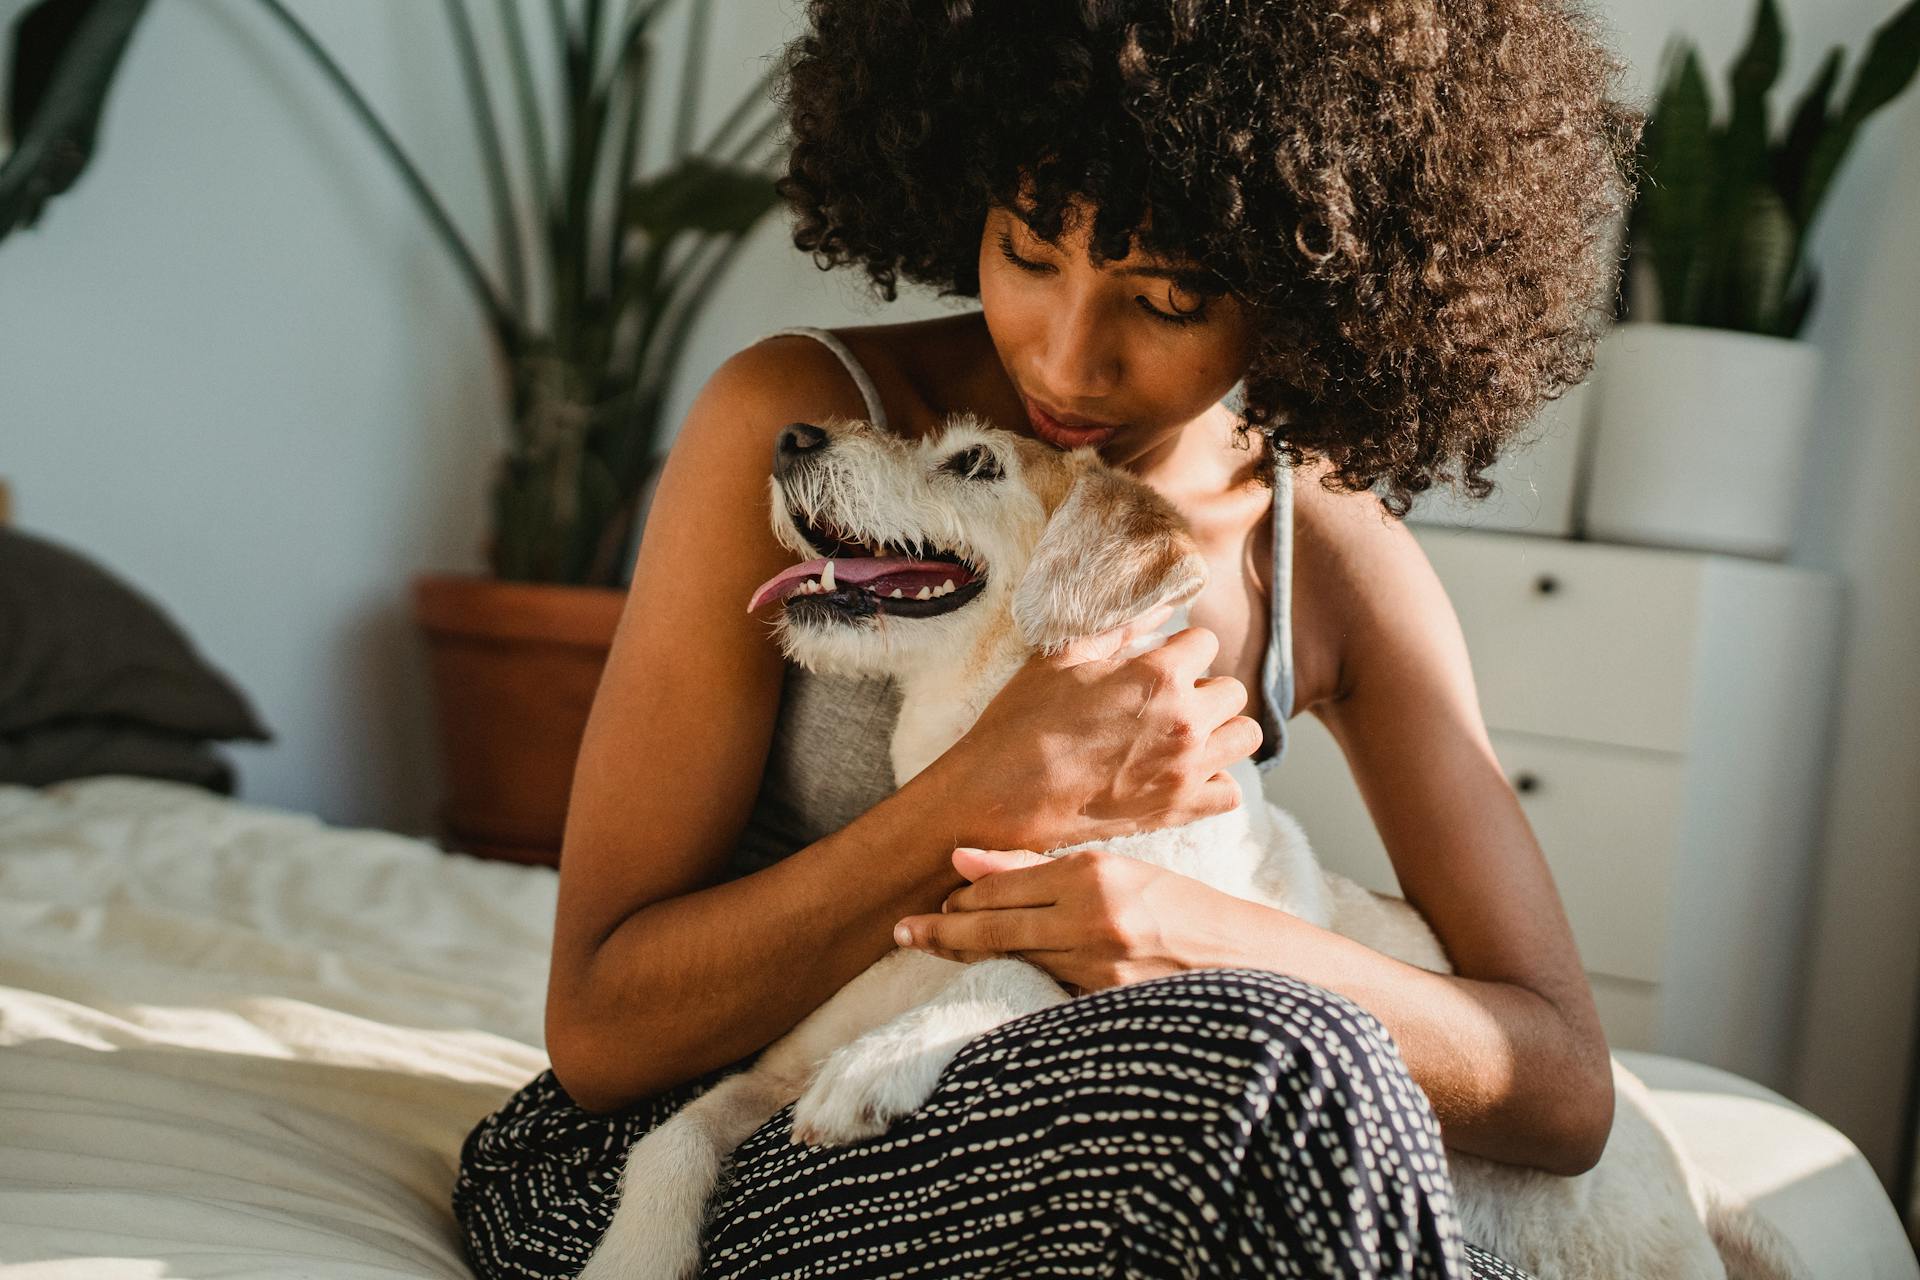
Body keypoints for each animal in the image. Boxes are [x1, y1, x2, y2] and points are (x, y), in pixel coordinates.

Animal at [579, 412, 1797, 1280]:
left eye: (974, 461)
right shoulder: (769, 1064)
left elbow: (1021, 961)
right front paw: (630, 1258)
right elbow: (668, 1137)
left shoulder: (1125, 927)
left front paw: (889, 1057)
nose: (790, 435)